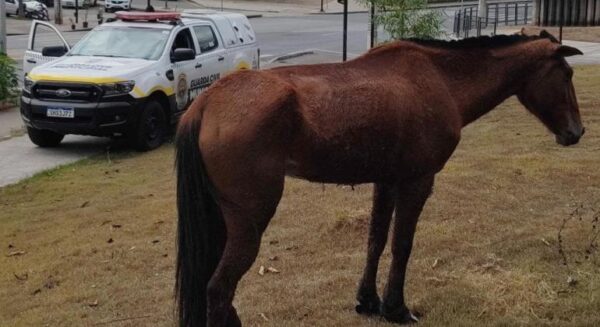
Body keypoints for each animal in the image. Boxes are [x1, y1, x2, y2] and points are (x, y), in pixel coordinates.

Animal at [176, 31, 584, 327]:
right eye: (566, 75)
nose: (576, 132)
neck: (440, 79)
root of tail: (206, 102)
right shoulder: (417, 182)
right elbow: (402, 245)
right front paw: (396, 308)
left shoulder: (386, 182)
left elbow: (375, 241)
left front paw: (368, 301)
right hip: (250, 221)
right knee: (219, 289)